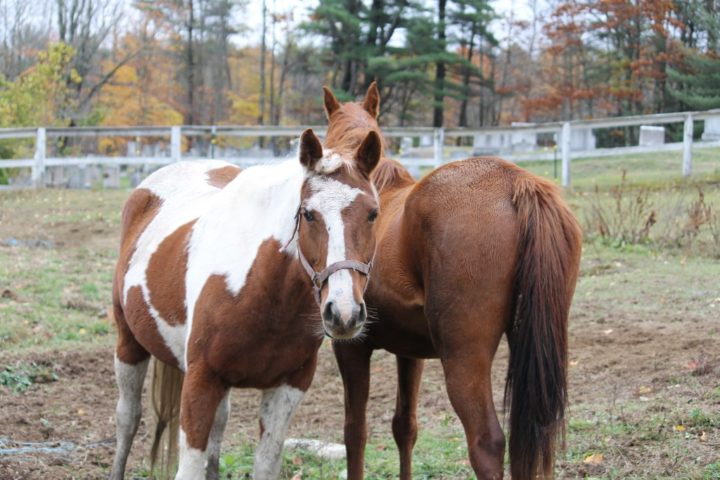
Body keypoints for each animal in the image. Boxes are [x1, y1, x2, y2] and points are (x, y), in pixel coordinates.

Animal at [107, 128, 382, 480]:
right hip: (129, 343)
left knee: (218, 426)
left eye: (373, 213)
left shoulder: (288, 388)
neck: (264, 294)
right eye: (308, 214)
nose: (344, 313)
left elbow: (263, 463)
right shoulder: (200, 381)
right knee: (128, 418)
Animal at [324, 84, 584, 478]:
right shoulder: (408, 351)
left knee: (487, 442)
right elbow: (405, 427)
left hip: (464, 357)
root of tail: (516, 182)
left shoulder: (351, 345)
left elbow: (355, 433)